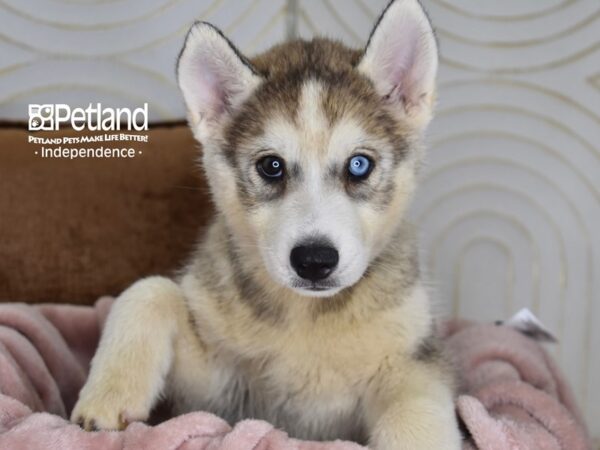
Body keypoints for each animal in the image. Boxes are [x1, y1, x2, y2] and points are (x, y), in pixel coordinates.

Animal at [71, 1, 464, 448]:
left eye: (359, 165)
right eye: (271, 166)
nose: (314, 260)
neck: (306, 318)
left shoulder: (414, 359)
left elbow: (418, 415)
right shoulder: (213, 395)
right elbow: (149, 288)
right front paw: (109, 394)